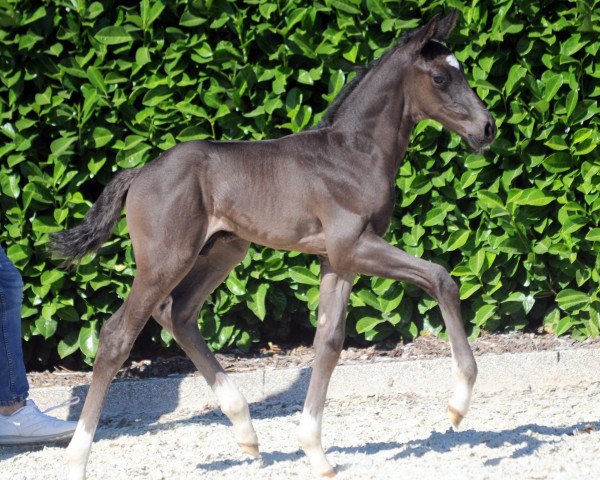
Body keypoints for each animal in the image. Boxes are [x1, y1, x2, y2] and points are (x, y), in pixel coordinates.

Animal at [51, 9, 494, 478]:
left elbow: (329, 342)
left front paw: (315, 451)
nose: (488, 128)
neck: (353, 154)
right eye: (441, 78)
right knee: (118, 335)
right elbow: (441, 278)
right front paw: (458, 404)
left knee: (178, 313)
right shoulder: (353, 245)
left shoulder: (337, 260)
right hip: (165, 260)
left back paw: (246, 431)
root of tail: (140, 172)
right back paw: (77, 458)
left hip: (223, 250)